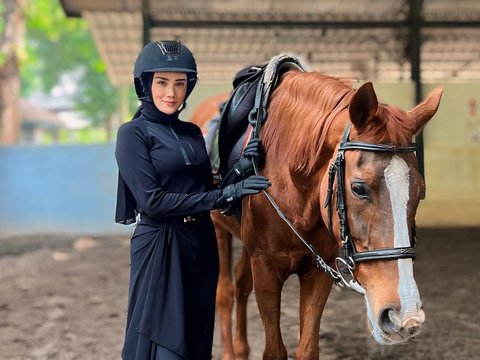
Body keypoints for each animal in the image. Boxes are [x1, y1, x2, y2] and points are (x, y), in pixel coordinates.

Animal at [190, 69, 442, 358]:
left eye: (420, 191)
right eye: (358, 188)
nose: (405, 316)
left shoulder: (318, 271)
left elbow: (308, 348)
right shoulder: (266, 268)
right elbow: (274, 350)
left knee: (241, 284)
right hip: (220, 230)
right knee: (226, 293)